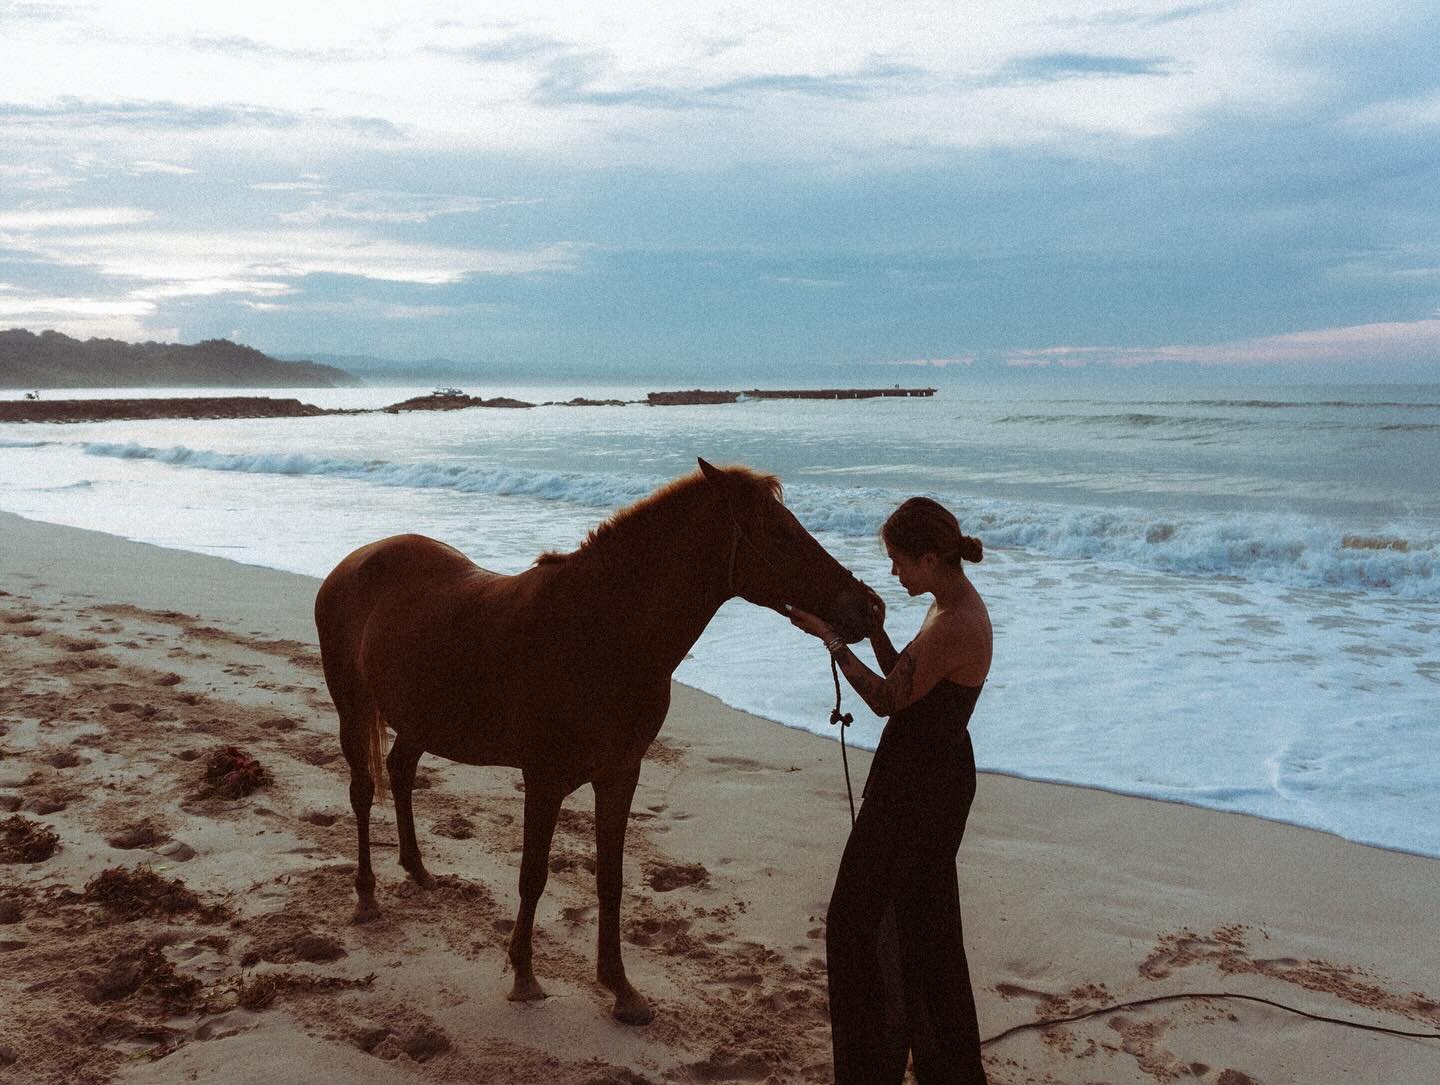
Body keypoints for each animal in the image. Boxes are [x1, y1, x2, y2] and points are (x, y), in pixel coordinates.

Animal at [315, 458, 864, 1025]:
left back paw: (418, 869)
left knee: (401, 772)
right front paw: (524, 975)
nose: (868, 607)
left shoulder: (620, 774)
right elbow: (532, 875)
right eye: (779, 532)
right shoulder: (544, 779)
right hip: (352, 707)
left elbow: (611, 881)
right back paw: (366, 897)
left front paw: (620, 988)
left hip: (420, 719)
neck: (602, 633)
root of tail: (354, 562)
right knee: (362, 791)